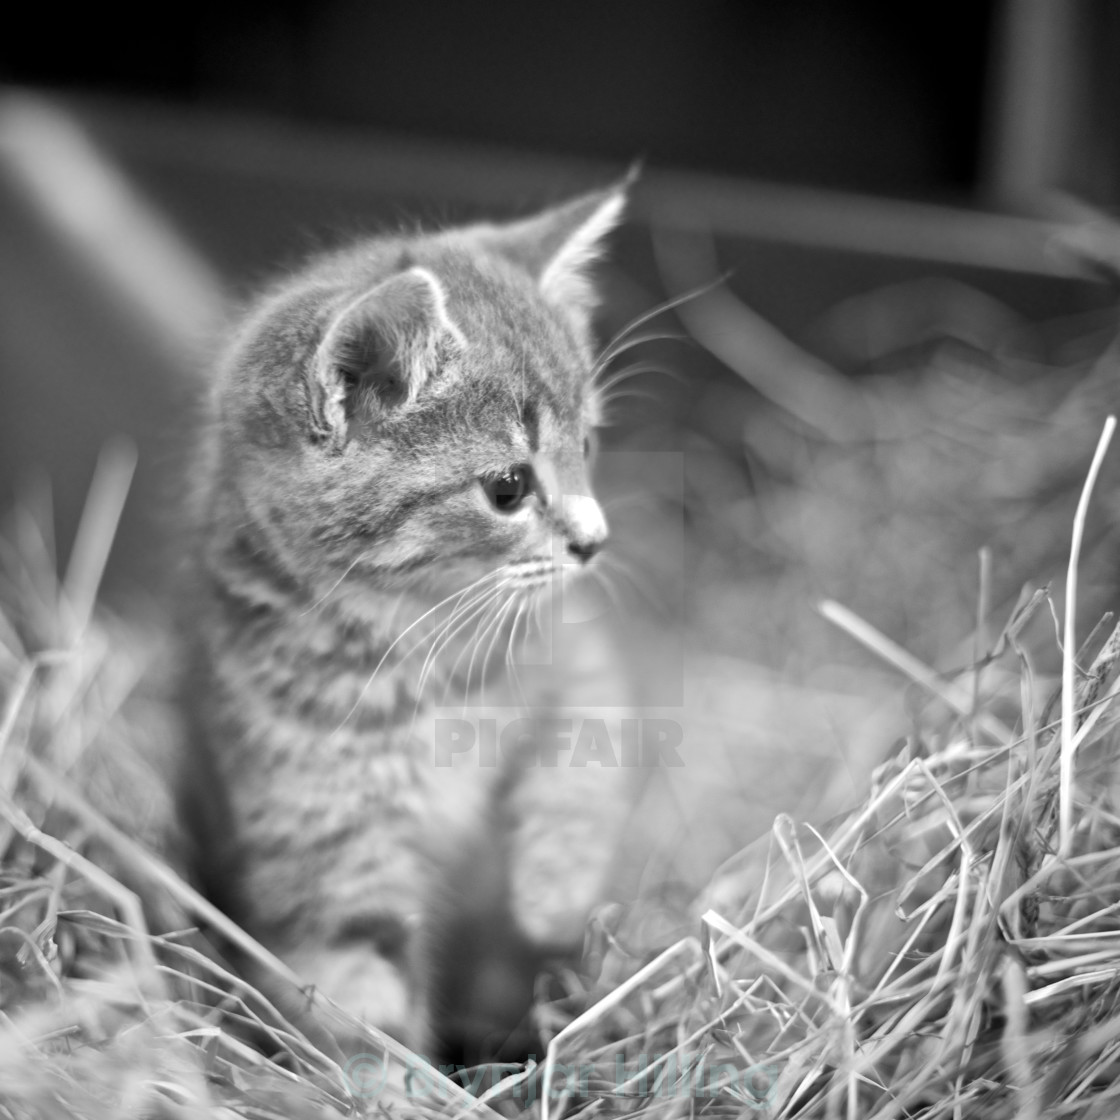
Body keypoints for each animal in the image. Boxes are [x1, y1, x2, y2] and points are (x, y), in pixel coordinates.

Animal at [183, 183, 640, 1057]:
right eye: (507, 487)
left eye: (592, 443)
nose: (595, 542)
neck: (422, 651)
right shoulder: (325, 849)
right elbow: (361, 996)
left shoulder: (582, 653)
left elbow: (582, 763)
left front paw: (552, 893)